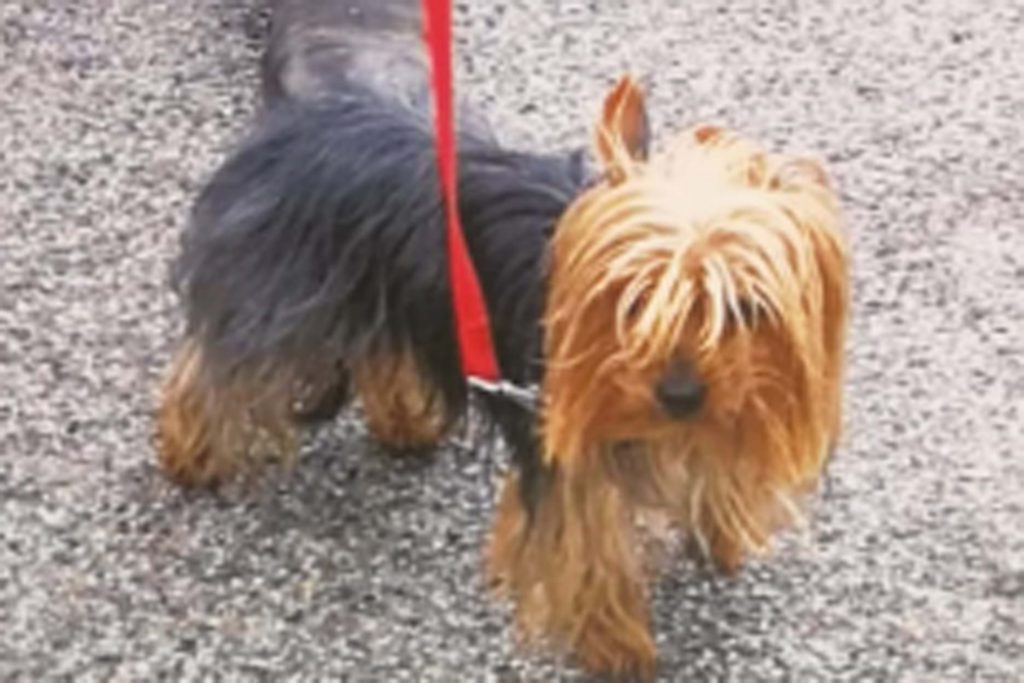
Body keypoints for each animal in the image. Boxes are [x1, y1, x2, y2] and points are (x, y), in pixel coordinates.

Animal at [156, 0, 849, 677]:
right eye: (632, 302)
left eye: (744, 310)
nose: (679, 394)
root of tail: (293, 120)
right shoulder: (566, 453)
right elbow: (590, 549)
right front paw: (619, 647)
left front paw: (720, 529)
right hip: (282, 290)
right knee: (218, 362)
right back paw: (190, 452)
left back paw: (403, 422)